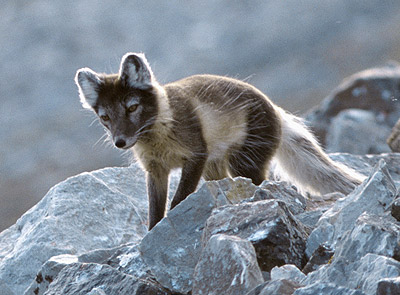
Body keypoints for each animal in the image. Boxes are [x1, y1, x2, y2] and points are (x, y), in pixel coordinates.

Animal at [76, 53, 366, 230]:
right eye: (105, 117)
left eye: (132, 107)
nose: (120, 142)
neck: (159, 133)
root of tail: (275, 109)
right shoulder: (155, 170)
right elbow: (155, 211)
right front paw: (152, 233)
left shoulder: (196, 155)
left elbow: (178, 200)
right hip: (216, 171)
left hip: (243, 164)